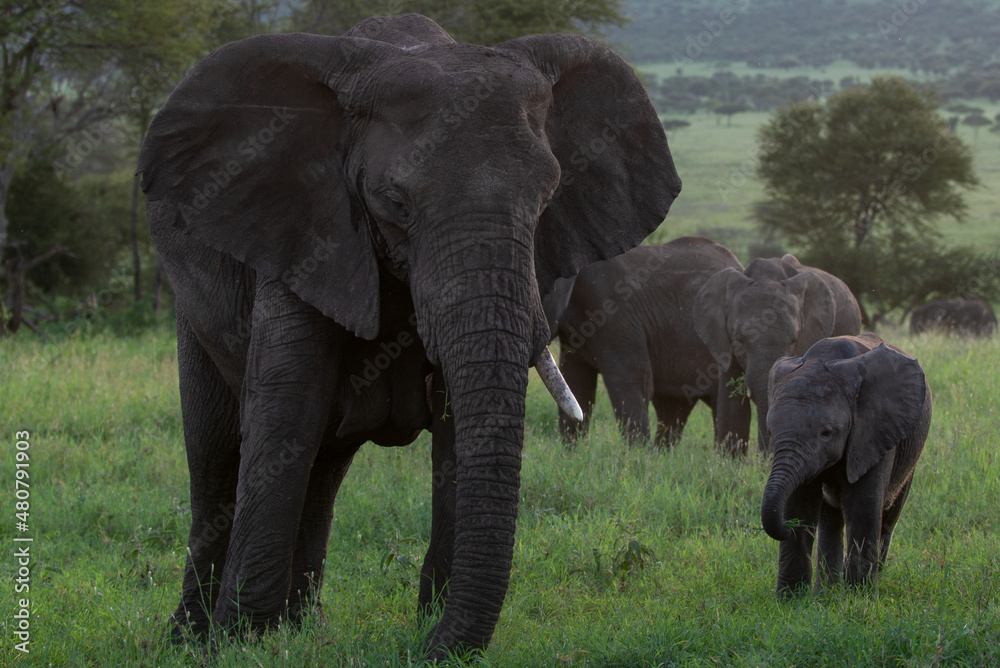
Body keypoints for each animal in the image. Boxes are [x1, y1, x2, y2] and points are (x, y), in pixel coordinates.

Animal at [136, 13, 681, 659]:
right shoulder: (301, 230)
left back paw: (302, 629)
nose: (423, 649)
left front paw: (428, 627)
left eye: (548, 197)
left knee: (325, 464)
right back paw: (191, 638)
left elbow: (453, 428)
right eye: (394, 201)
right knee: (217, 453)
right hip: (194, 312)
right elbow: (286, 413)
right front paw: (241, 644)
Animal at [547, 237, 751, 453]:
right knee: (673, 407)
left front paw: (634, 455)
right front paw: (570, 452)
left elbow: (633, 381)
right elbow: (576, 383)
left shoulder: (614, 312)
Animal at [760, 333, 931, 596]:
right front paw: (791, 600)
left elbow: (863, 506)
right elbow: (800, 505)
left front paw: (858, 597)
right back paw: (827, 593)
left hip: (910, 455)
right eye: (771, 431)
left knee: (888, 517)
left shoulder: (874, 431)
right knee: (830, 521)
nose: (787, 528)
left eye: (826, 433)